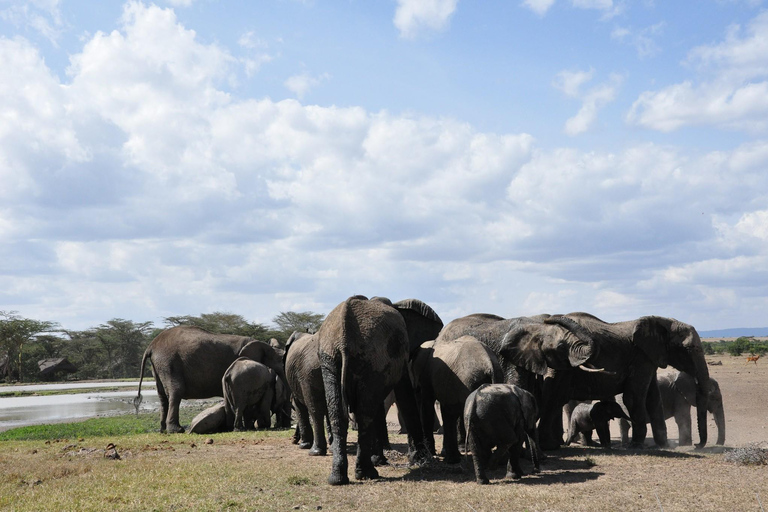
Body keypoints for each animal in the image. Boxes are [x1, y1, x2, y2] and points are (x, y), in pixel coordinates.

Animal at [135, 328, 288, 432]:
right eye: (282, 365)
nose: (282, 425)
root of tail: (151, 346)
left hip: (159, 366)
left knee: (162, 396)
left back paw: (163, 430)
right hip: (169, 363)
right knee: (176, 392)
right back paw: (177, 430)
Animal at [316, 296, 428, 484]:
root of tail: (343, 339)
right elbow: (405, 395)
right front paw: (421, 460)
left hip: (333, 360)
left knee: (339, 414)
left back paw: (337, 479)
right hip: (369, 358)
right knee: (364, 414)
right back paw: (367, 473)